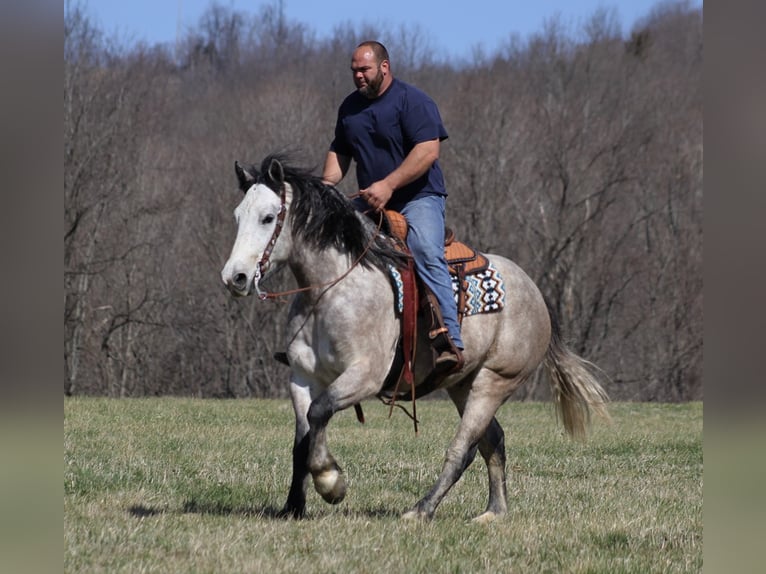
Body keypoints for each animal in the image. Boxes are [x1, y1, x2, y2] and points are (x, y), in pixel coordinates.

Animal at [222, 155, 612, 524]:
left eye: (268, 218)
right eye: (239, 215)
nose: (234, 277)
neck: (332, 289)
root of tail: (535, 292)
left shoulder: (364, 376)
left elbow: (320, 412)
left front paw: (331, 483)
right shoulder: (302, 377)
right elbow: (302, 441)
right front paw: (294, 506)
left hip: (494, 382)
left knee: (463, 449)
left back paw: (422, 509)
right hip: (463, 385)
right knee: (493, 442)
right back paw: (493, 512)